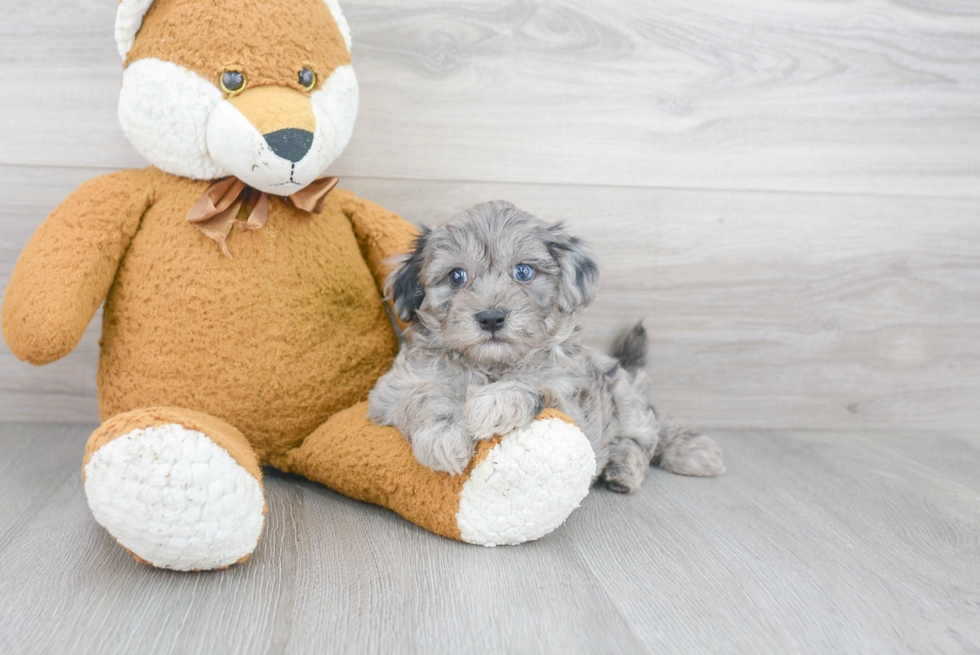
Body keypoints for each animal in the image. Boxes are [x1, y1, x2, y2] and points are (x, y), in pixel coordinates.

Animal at [364, 201, 724, 492]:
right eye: (456, 277)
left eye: (523, 272)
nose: (491, 318)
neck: (492, 366)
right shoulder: (392, 390)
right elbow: (424, 394)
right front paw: (444, 434)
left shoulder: (574, 407)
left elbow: (534, 384)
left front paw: (494, 401)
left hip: (626, 398)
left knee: (651, 433)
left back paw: (680, 456)